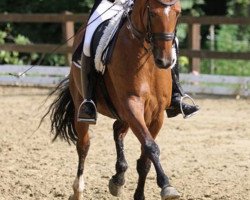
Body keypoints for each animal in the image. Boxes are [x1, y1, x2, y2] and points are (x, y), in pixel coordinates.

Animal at [46, 0, 182, 199]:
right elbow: (151, 147)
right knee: (84, 145)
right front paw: (166, 185)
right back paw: (78, 189)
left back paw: (118, 176)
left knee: (117, 130)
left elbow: (145, 158)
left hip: (124, 114)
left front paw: (139, 194)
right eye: (152, 14)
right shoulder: (131, 105)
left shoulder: (156, 115)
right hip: (83, 106)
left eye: (177, 13)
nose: (165, 61)